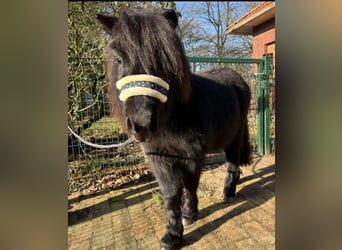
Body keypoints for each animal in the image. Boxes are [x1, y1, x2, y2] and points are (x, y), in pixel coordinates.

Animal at [97, 8, 251, 250]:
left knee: (232, 165)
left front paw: (189, 214)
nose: (141, 124)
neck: (171, 120)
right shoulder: (157, 157)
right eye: (119, 59)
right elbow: (170, 195)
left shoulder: (192, 155)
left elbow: (189, 185)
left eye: (163, 59)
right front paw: (171, 235)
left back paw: (228, 192)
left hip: (234, 139)